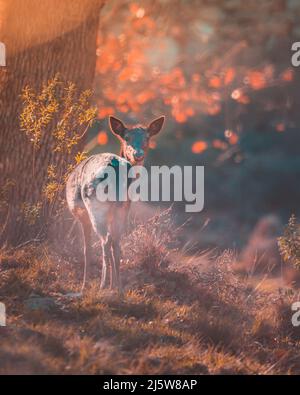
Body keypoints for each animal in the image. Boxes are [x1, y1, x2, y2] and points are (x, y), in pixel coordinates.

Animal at [66, 116, 164, 292]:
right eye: (127, 137)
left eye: (147, 138)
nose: (138, 154)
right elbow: (111, 243)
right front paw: (113, 284)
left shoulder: (81, 215)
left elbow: (86, 248)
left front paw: (84, 285)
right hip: (122, 207)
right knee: (116, 242)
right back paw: (118, 288)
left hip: (96, 206)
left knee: (105, 241)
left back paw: (102, 285)